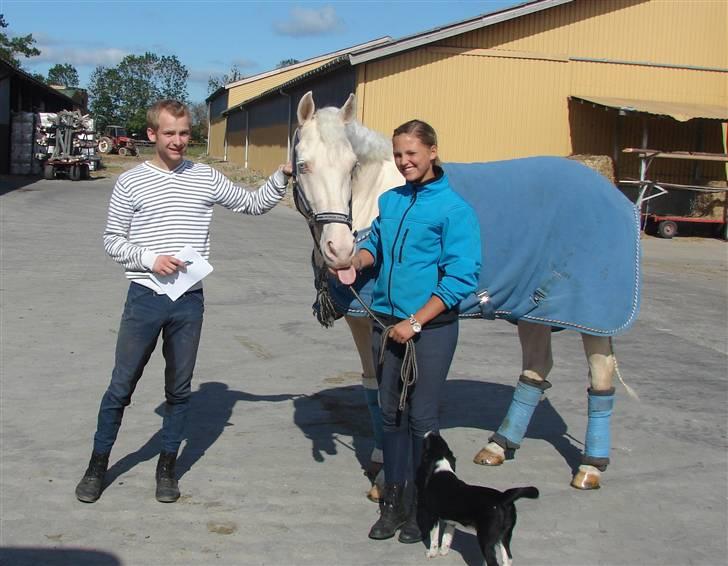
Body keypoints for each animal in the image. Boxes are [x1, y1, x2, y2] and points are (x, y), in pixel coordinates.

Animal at [292, 91, 628, 490]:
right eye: (303, 165)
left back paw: (590, 467)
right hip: (533, 310)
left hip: (593, 319)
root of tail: (614, 193)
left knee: (600, 376)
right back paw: (499, 446)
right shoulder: (362, 321)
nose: (341, 251)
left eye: (352, 166)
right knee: (536, 368)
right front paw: (378, 456)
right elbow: (374, 387)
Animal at [412, 432, 536, 564]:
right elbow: (447, 536)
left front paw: (431, 553)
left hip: (486, 539)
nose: (431, 432)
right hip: (505, 536)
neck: (441, 467)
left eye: (427, 444)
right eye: (441, 440)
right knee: (508, 558)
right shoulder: (451, 520)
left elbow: (434, 538)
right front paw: (443, 551)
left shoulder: (433, 515)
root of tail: (503, 497)